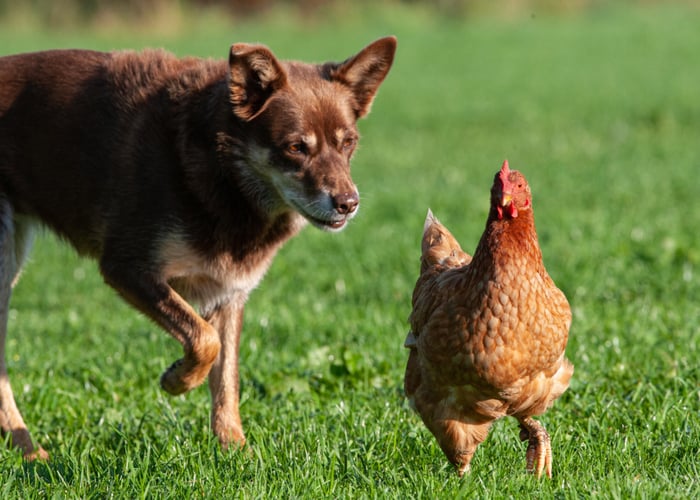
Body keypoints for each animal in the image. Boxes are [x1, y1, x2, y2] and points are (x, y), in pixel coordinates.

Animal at [0, 35, 394, 458]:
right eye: (295, 147)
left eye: (348, 143)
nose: (349, 203)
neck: (224, 173)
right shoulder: (128, 266)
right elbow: (205, 340)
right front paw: (177, 380)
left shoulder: (230, 291)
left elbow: (226, 377)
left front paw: (235, 448)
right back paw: (29, 452)